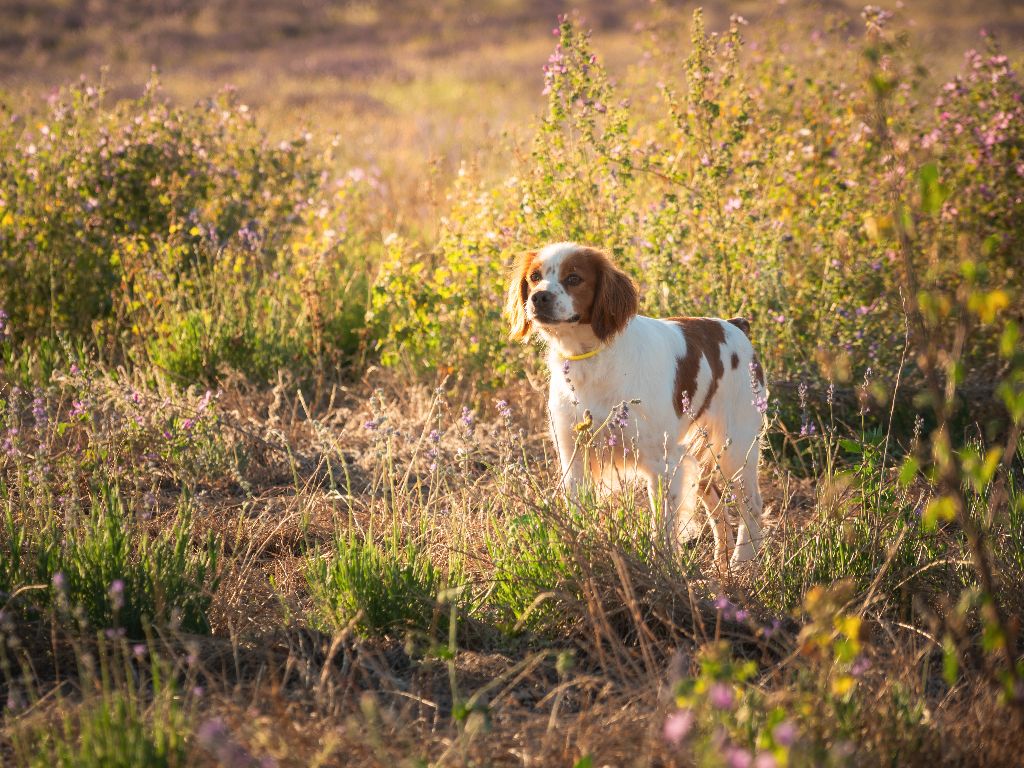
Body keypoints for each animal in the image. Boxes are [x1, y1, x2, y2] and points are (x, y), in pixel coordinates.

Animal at [507, 243, 765, 569]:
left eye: (574, 278)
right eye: (535, 277)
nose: (539, 297)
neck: (594, 358)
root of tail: (735, 326)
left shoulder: (662, 463)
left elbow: (663, 530)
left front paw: (665, 568)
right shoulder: (575, 459)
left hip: (736, 449)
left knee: (752, 505)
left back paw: (743, 562)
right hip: (702, 455)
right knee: (717, 505)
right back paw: (721, 566)